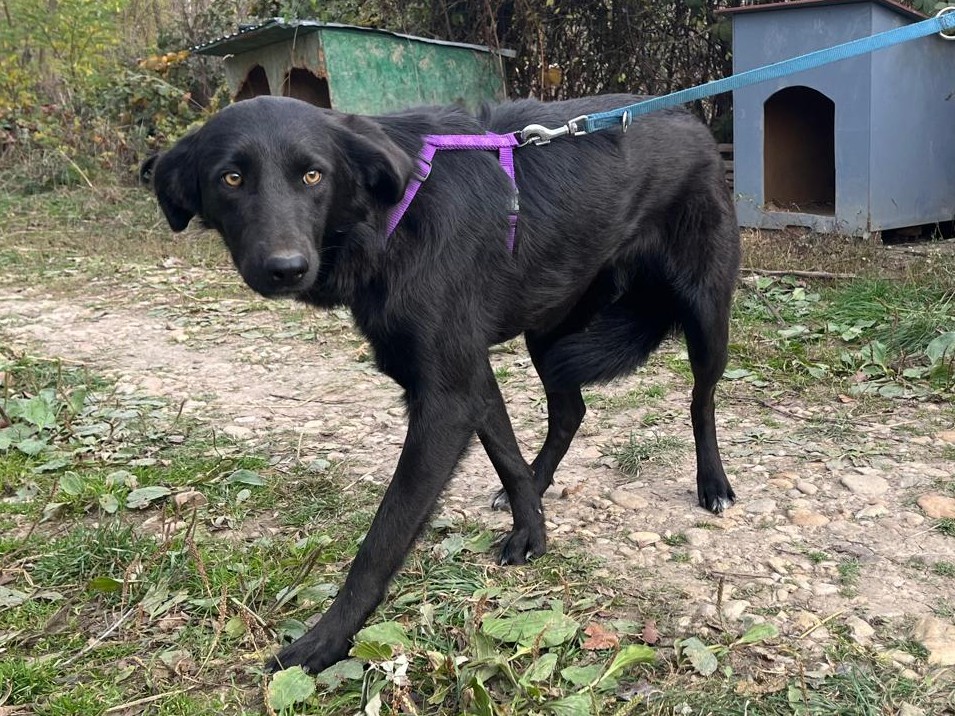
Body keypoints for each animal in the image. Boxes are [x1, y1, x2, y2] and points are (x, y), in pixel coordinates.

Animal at [142, 93, 741, 674]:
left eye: (313, 175)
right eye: (231, 178)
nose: (284, 267)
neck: (392, 216)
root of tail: (691, 119)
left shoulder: (447, 397)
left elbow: (384, 539)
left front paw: (324, 641)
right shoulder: (468, 375)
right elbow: (505, 455)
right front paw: (532, 530)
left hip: (704, 313)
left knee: (701, 400)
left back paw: (713, 483)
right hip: (551, 328)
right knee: (571, 410)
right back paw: (544, 476)